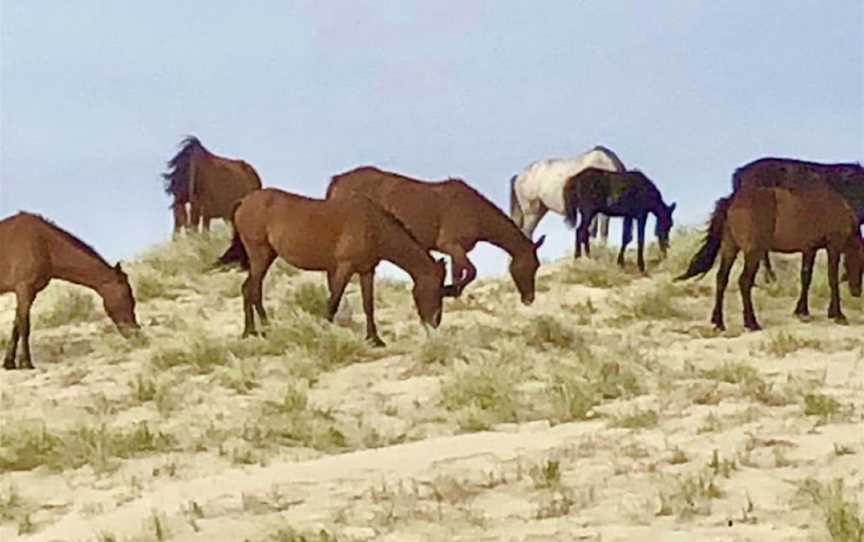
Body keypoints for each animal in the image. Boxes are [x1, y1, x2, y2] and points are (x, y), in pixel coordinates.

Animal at [0, 212, 138, 370]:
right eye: (125, 296)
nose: (134, 332)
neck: (44, 244)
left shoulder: (28, 292)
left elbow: (16, 325)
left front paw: (9, 362)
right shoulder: (24, 289)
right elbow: (24, 326)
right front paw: (26, 362)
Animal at [216, 188, 448, 348]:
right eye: (436, 290)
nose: (435, 322)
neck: (374, 226)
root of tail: (244, 201)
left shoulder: (366, 271)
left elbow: (368, 304)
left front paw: (374, 339)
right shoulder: (344, 267)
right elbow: (333, 301)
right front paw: (322, 333)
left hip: (266, 256)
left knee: (250, 289)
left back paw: (256, 331)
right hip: (260, 255)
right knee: (252, 289)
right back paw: (259, 330)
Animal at [328, 167, 544, 302]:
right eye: (532, 265)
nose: (529, 299)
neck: (474, 211)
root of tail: (337, 181)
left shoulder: (456, 250)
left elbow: (459, 273)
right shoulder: (451, 245)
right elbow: (471, 272)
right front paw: (447, 291)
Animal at [680, 187, 860, 332]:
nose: (857, 292)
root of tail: (732, 201)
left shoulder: (809, 249)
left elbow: (806, 278)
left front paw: (802, 311)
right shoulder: (833, 247)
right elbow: (832, 279)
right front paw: (838, 315)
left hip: (730, 249)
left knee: (721, 279)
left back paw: (719, 323)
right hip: (753, 253)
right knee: (744, 282)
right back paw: (751, 323)